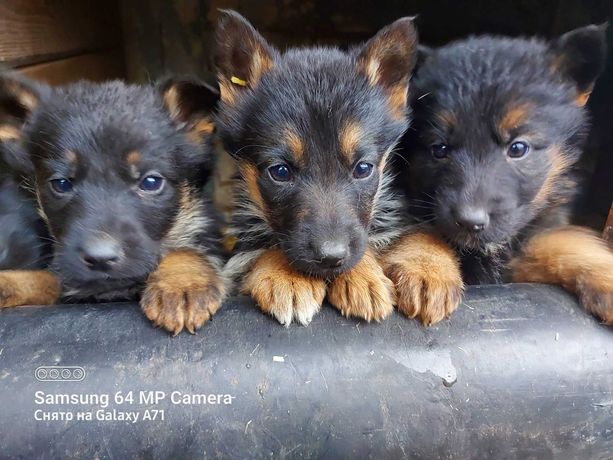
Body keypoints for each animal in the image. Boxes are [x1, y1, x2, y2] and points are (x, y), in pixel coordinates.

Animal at [0, 74, 225, 334]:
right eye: (61, 183)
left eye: (151, 182)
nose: (101, 258)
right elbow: (46, 278)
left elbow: (186, 248)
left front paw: (182, 283)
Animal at [388, 25, 612, 326]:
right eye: (439, 149)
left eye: (518, 148)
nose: (469, 221)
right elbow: (421, 227)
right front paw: (426, 266)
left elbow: (565, 242)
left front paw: (605, 275)